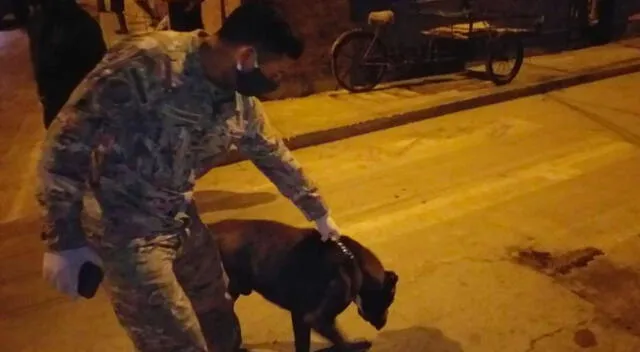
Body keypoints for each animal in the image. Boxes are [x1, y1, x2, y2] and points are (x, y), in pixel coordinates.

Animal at [210, 219, 398, 350]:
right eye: (388, 300)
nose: (383, 324)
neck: (354, 260)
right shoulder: (317, 318)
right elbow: (340, 340)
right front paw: (354, 345)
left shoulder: (299, 316)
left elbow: (302, 344)